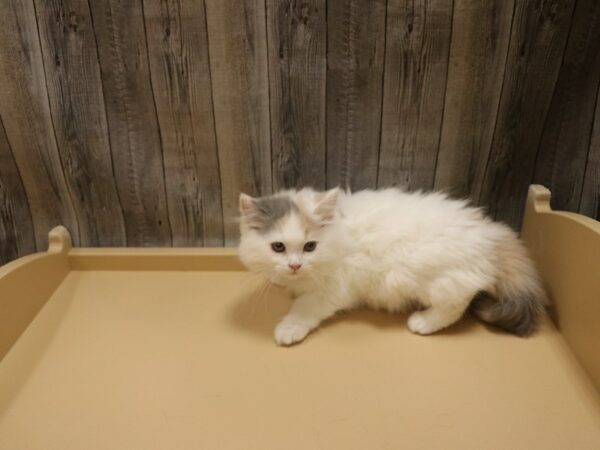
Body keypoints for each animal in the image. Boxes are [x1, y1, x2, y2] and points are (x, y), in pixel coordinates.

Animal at [237, 188, 548, 346]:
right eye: (278, 247)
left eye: (310, 246)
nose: (295, 265)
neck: (339, 233)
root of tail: (489, 232)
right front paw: (281, 279)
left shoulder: (333, 289)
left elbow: (304, 308)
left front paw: (289, 328)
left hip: (436, 280)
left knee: (457, 304)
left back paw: (423, 322)